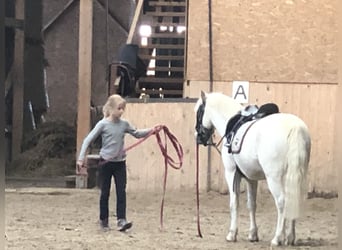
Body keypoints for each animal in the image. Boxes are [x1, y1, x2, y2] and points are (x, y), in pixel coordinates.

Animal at [194, 92, 312, 246]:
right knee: (293, 199)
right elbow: (252, 205)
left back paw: (277, 238)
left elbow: (234, 203)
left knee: (281, 202)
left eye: (198, 112)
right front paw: (253, 234)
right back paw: (290, 237)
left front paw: (232, 234)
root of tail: (295, 128)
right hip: (295, 175)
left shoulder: (232, 173)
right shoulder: (251, 178)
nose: (198, 137)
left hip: (274, 178)